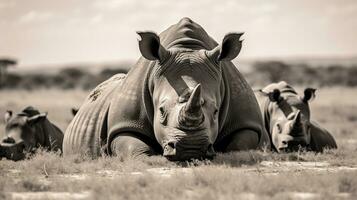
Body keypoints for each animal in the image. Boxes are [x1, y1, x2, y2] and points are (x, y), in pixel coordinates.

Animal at [63, 17, 268, 161]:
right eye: (161, 111)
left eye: (216, 111)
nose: (191, 149)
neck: (187, 46)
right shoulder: (123, 124)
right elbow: (134, 146)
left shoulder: (247, 120)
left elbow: (239, 144)